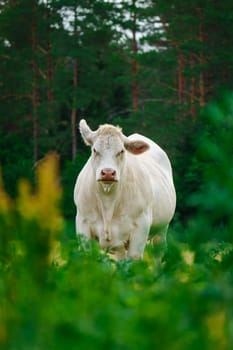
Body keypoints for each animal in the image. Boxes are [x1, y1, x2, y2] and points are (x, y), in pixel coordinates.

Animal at [73, 120, 176, 260]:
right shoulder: (83, 223)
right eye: (95, 150)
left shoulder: (141, 227)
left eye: (121, 151)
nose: (108, 172)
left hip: (161, 231)